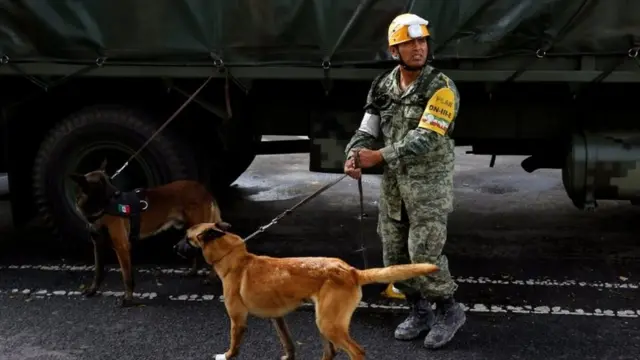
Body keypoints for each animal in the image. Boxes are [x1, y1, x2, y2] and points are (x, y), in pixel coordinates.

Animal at [70, 160, 224, 306]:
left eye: (109, 180)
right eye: (100, 183)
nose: (118, 193)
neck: (98, 209)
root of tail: (204, 190)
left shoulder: (122, 246)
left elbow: (127, 277)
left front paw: (127, 299)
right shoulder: (98, 245)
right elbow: (98, 271)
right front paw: (92, 290)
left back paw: (210, 279)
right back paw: (193, 272)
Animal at [174, 221, 440, 358]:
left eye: (187, 238)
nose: (173, 248)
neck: (235, 257)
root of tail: (351, 271)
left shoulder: (237, 321)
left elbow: (234, 346)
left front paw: (226, 355)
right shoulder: (278, 318)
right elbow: (288, 343)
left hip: (328, 323)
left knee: (356, 351)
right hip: (324, 320)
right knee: (331, 352)